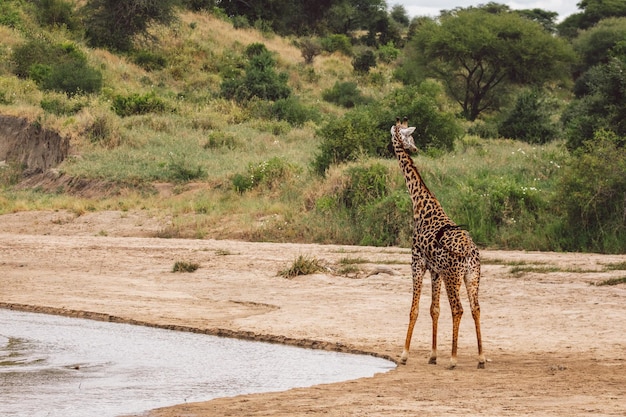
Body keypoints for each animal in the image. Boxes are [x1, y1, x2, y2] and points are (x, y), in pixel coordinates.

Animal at [388, 116, 486, 368]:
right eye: (410, 136)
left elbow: (414, 309)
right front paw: (432, 355)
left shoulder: (417, 262)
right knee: (476, 308)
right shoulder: (435, 270)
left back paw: (453, 358)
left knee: (458, 309)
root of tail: (469, 252)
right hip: (472, 276)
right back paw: (481, 358)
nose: (414, 149)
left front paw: (404, 354)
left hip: (454, 276)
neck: (420, 204)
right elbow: (434, 309)